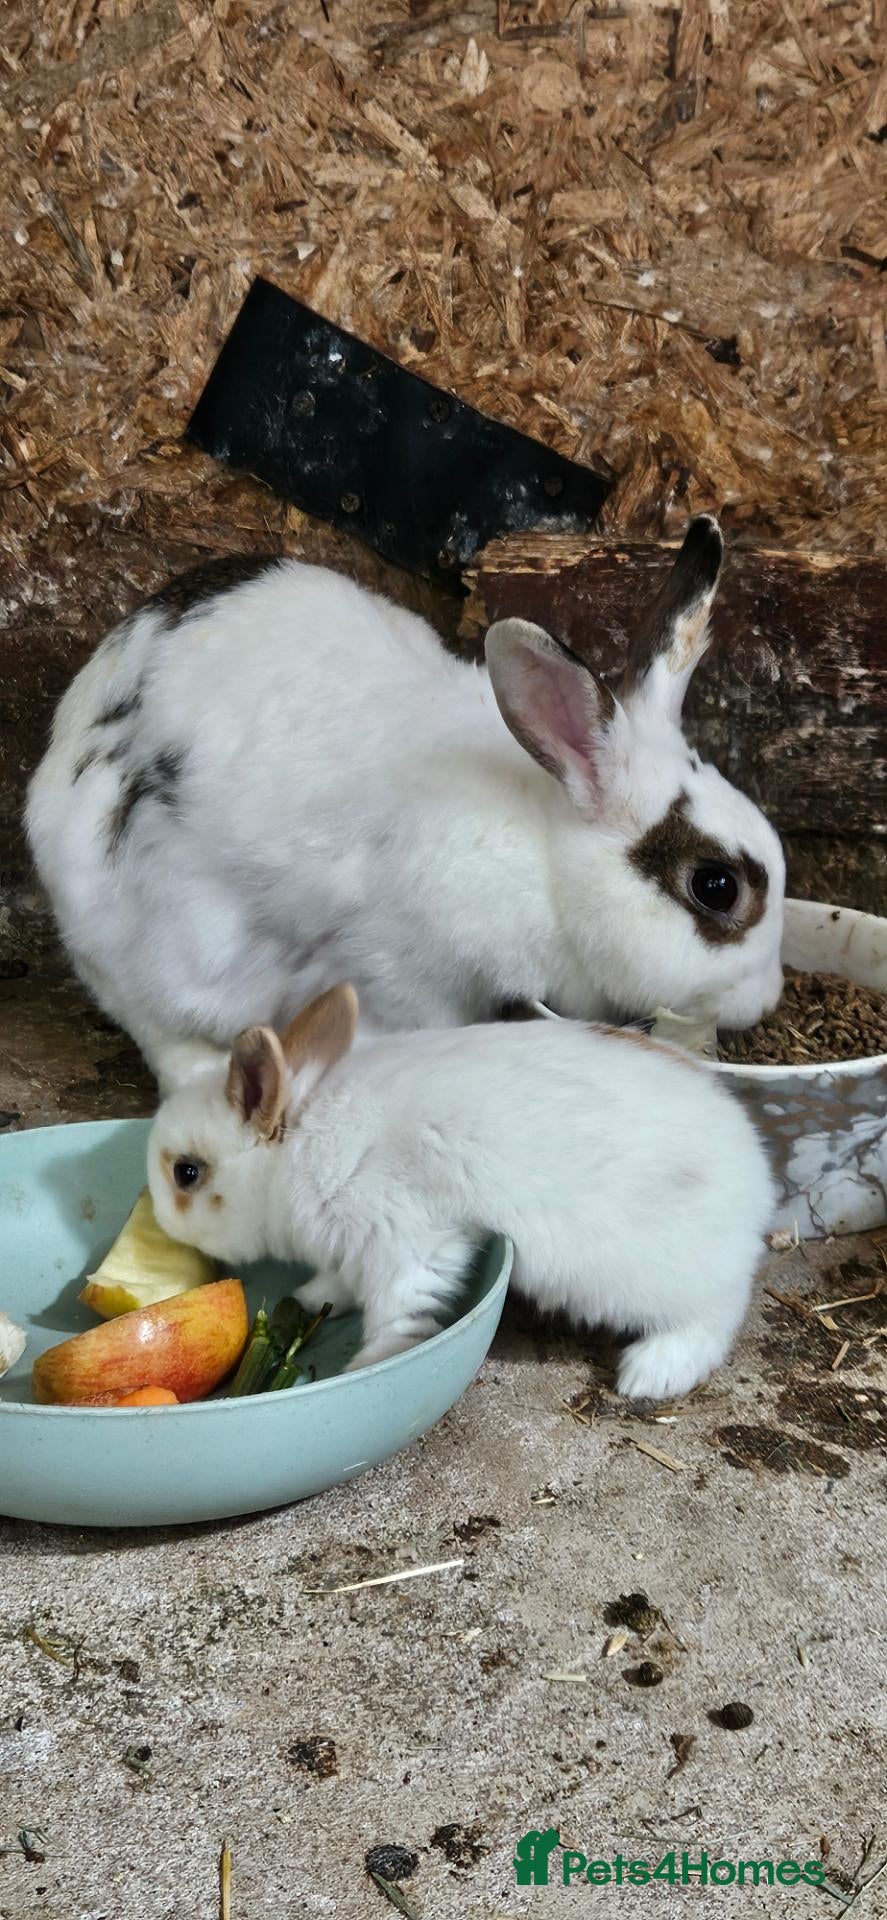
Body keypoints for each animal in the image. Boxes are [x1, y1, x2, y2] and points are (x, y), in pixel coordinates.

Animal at [27, 518, 785, 1089]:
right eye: (715, 886)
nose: (767, 998)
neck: (544, 852)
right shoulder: (403, 967)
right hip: (147, 945)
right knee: (151, 1022)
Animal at [146, 983, 775, 1400]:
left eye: (187, 1173)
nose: (157, 1219)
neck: (298, 1145)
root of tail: (755, 1183)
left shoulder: (405, 1240)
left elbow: (400, 1311)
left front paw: (368, 1369)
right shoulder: (354, 1249)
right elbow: (339, 1283)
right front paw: (306, 1298)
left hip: (656, 1279)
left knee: (714, 1317)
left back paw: (649, 1374)